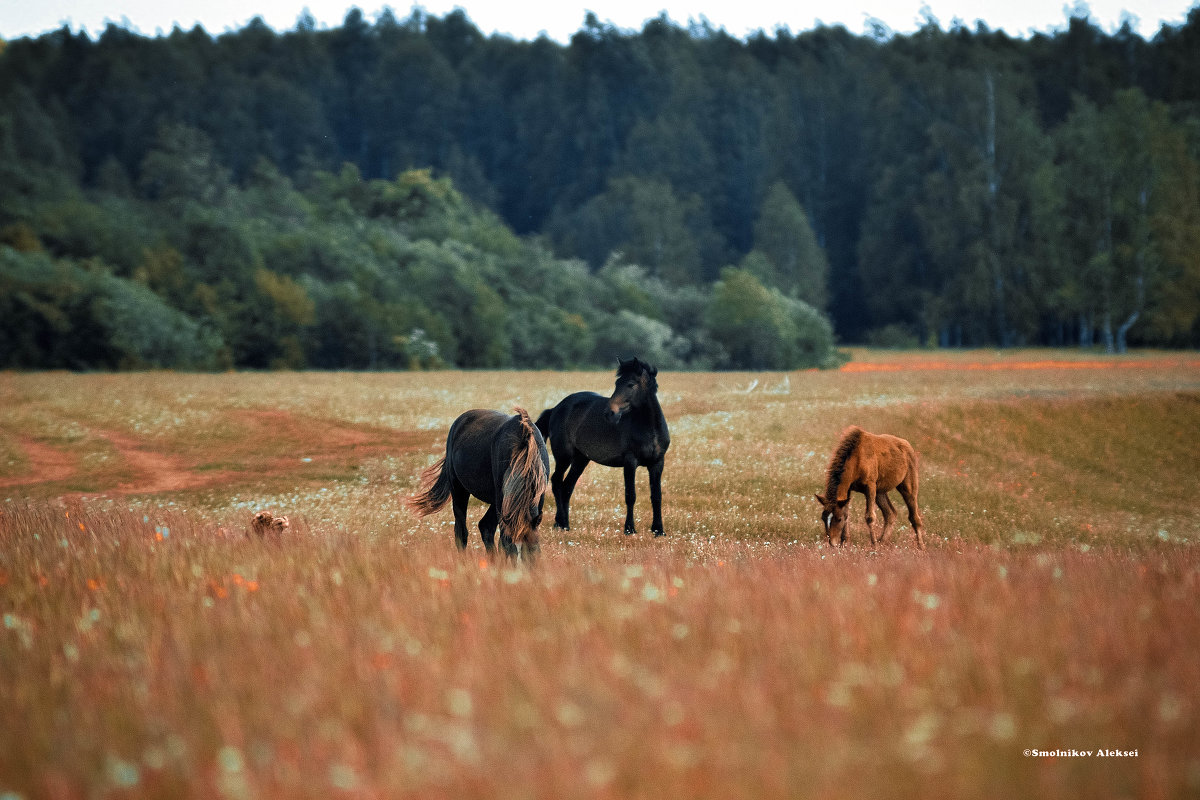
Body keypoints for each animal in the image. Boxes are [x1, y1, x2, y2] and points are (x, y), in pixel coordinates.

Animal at [408, 410, 549, 561]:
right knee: (461, 531)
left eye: (533, 552)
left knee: (485, 527)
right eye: (512, 552)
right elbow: (502, 542)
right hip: (459, 490)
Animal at [540, 357, 672, 537]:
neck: (650, 428)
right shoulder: (630, 462)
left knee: (567, 486)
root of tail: (555, 408)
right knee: (556, 482)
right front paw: (629, 529)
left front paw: (658, 530)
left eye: (630, 384)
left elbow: (656, 496)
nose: (609, 413)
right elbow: (630, 495)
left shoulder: (657, 463)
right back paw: (562, 523)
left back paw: (562, 523)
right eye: (617, 383)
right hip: (563, 457)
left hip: (581, 459)